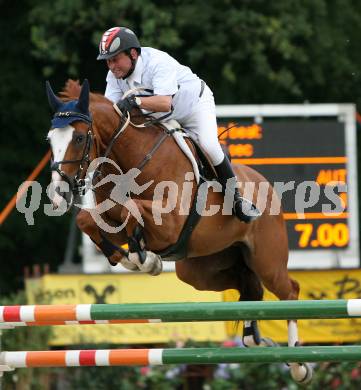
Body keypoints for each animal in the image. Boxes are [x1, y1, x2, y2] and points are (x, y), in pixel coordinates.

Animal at [44, 79, 310, 384]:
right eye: (50, 140)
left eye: (78, 138)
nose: (59, 194)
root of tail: (264, 182)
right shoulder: (110, 218)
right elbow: (88, 220)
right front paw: (130, 258)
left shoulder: (169, 223)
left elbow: (132, 208)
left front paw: (145, 258)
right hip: (199, 270)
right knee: (248, 287)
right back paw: (258, 340)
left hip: (267, 261)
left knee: (289, 291)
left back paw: (299, 364)